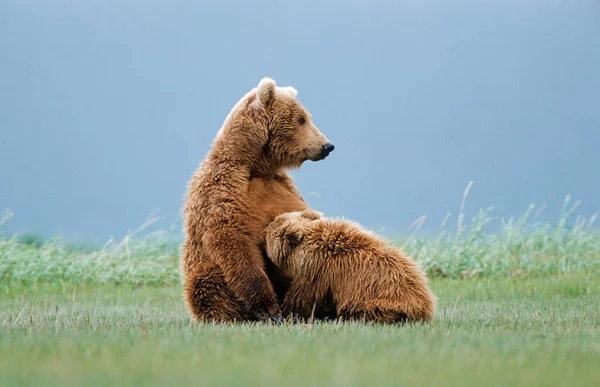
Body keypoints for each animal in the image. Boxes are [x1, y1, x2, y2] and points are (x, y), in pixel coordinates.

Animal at [180, 77, 336, 322]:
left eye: (307, 116)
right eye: (301, 119)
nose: (327, 146)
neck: (256, 166)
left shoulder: (282, 187)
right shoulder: (223, 191)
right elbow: (232, 240)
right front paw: (269, 310)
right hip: (205, 275)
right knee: (209, 287)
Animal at [262, 211, 436, 322]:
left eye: (270, 229)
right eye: (275, 220)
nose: (264, 229)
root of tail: (427, 304)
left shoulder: (318, 271)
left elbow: (302, 298)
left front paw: (286, 313)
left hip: (386, 301)